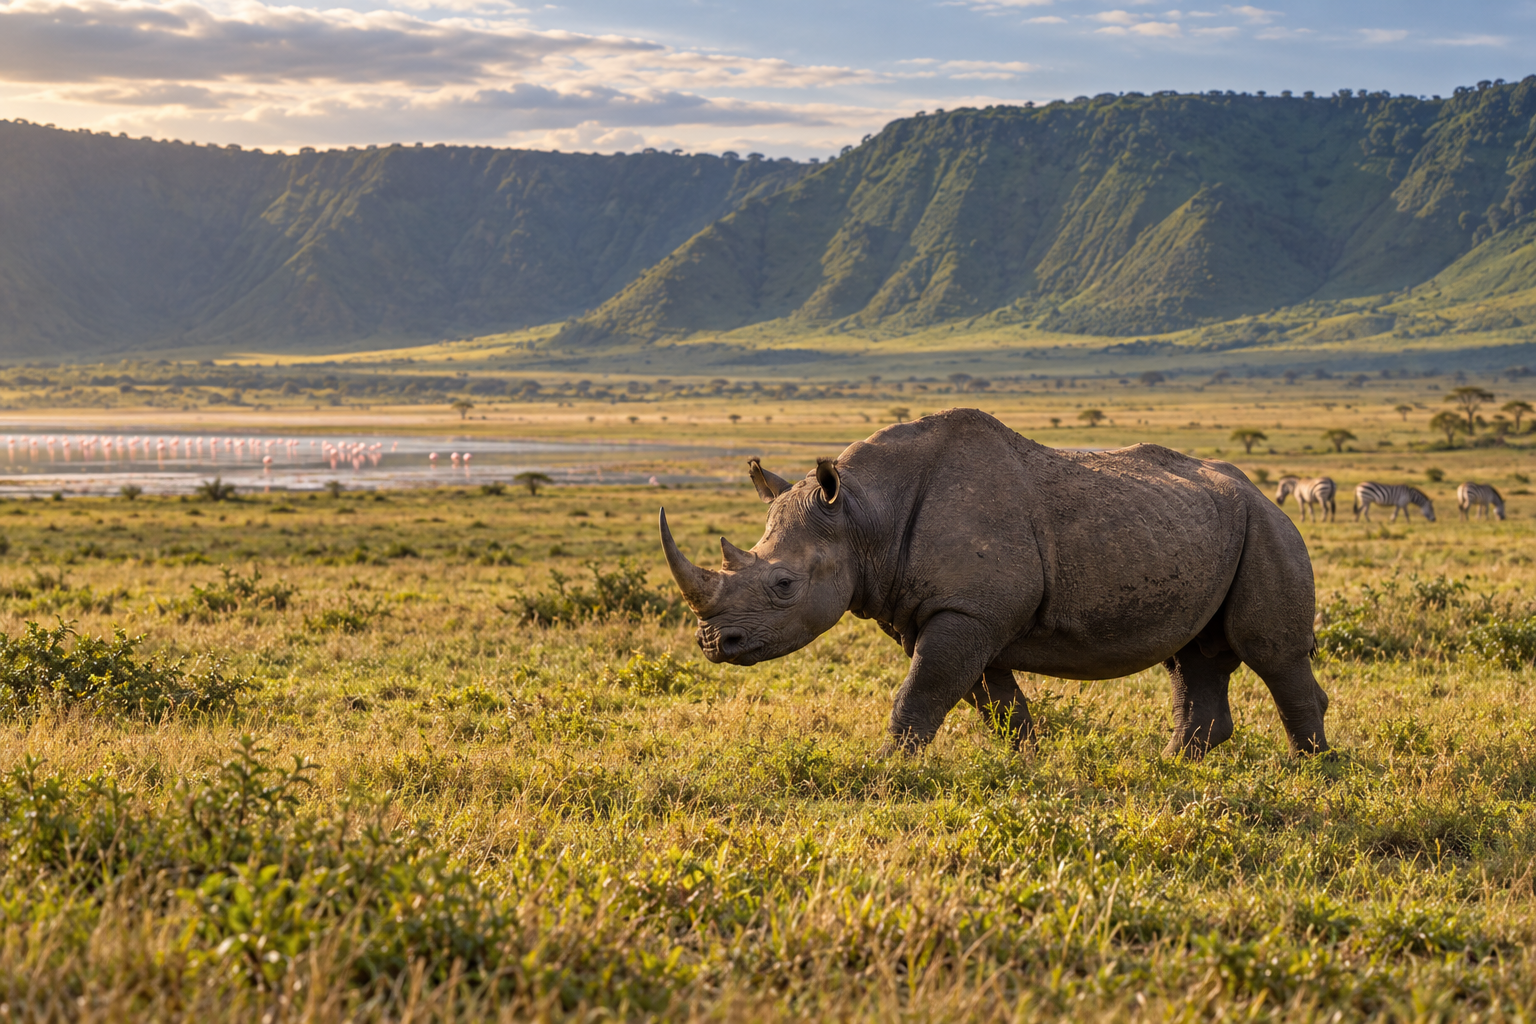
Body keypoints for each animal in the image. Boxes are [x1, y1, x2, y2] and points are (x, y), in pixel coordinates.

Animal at [659, 408, 1328, 759]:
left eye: (784, 584)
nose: (714, 645)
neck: (862, 514)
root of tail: (1261, 491)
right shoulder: (956, 612)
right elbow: (993, 700)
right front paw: (1028, 765)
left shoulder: (969, 610)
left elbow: (924, 690)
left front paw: (888, 769)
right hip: (1207, 525)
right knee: (1193, 656)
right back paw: (1173, 766)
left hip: (1269, 526)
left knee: (1271, 653)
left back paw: (1310, 770)